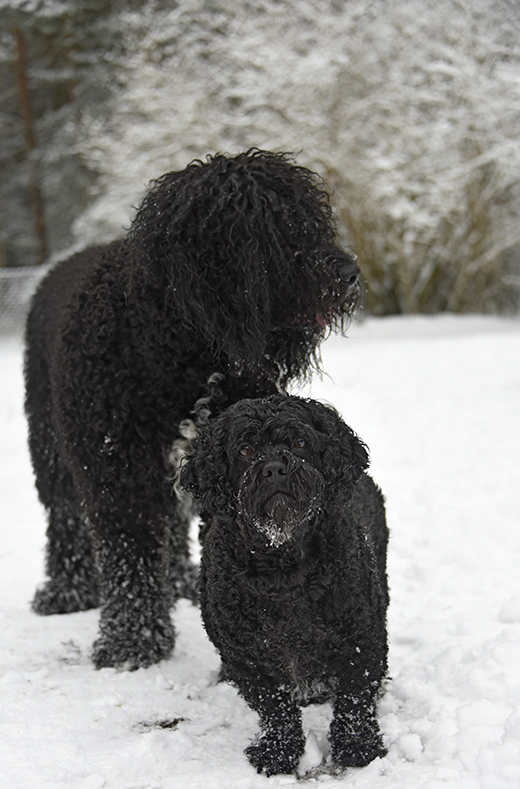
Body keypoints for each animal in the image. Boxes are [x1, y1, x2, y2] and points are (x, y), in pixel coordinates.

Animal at [23, 149, 358, 672]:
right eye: (276, 228)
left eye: (314, 220)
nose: (350, 272)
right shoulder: (117, 473)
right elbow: (129, 559)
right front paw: (132, 644)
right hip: (50, 443)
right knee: (64, 515)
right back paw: (67, 590)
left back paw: (178, 581)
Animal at [181, 394, 388, 776]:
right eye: (245, 449)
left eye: (300, 442)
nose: (275, 468)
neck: (283, 564)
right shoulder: (245, 655)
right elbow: (275, 707)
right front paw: (278, 751)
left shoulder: (361, 636)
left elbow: (355, 697)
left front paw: (358, 747)